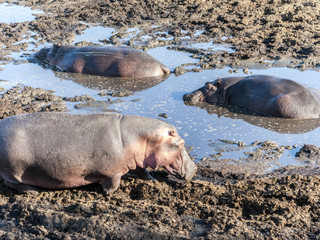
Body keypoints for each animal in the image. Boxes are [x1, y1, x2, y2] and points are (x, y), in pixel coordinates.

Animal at [0, 112, 196, 195]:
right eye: (182, 143)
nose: (195, 168)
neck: (142, 138)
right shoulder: (113, 171)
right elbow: (113, 183)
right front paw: (108, 194)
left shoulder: (138, 160)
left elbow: (143, 170)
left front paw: (152, 179)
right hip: (14, 169)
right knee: (12, 183)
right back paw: (31, 192)